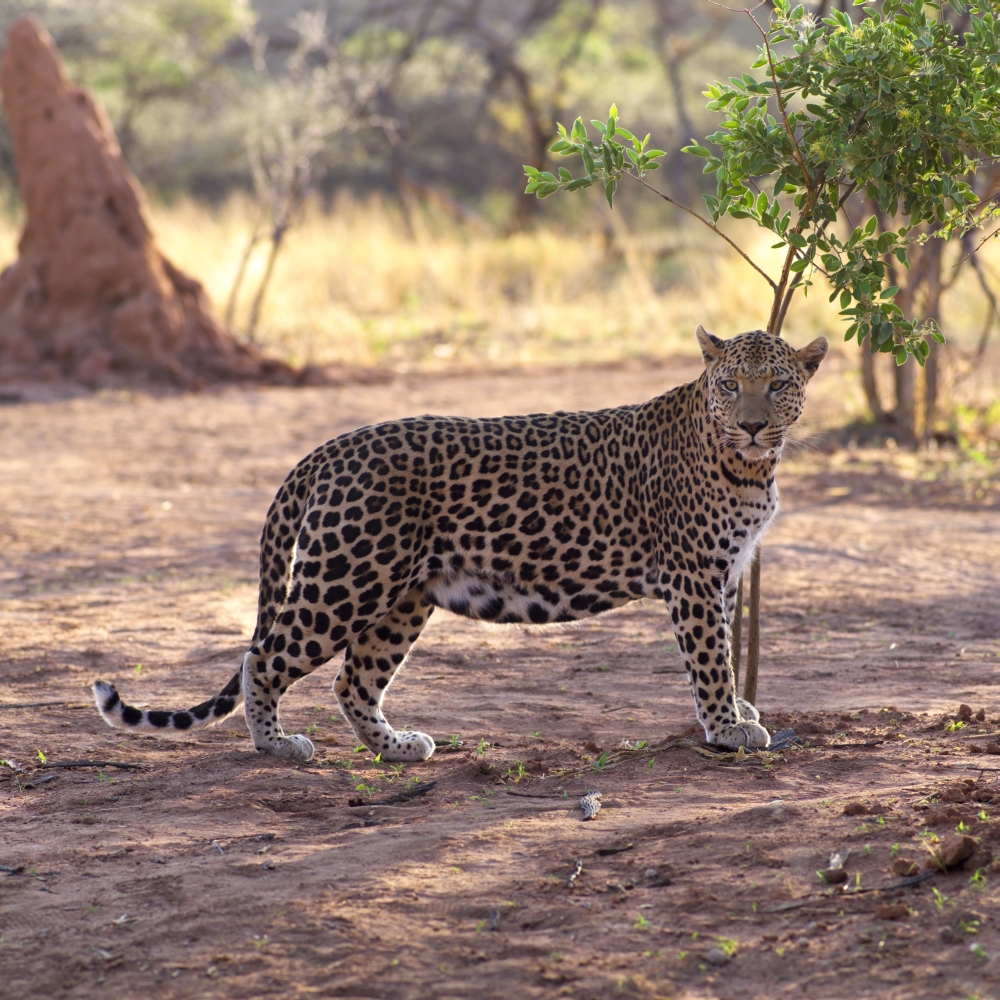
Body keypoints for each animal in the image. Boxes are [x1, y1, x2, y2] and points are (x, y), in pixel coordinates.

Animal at [93, 325, 828, 762]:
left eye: (779, 384)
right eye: (729, 385)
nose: (753, 425)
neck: (751, 467)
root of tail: (327, 450)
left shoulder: (726, 573)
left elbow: (724, 646)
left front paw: (737, 711)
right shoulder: (694, 576)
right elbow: (709, 658)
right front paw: (728, 727)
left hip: (401, 596)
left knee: (352, 679)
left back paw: (395, 746)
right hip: (343, 581)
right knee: (264, 658)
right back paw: (277, 745)